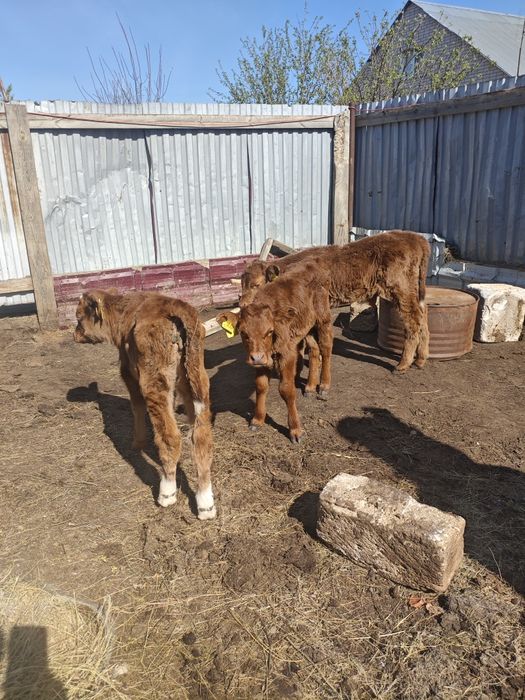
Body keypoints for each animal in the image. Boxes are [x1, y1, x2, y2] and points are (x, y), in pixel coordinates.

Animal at [73, 290, 216, 519]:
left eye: (78, 317)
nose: (74, 335)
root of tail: (176, 308)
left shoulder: (127, 372)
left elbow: (137, 407)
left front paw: (137, 442)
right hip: (197, 376)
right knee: (202, 437)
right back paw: (205, 504)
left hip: (153, 381)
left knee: (170, 437)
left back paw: (167, 493)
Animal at [218, 263, 332, 443]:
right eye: (243, 333)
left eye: (270, 331)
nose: (257, 357)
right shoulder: (260, 360)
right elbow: (260, 386)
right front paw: (257, 420)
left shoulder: (287, 353)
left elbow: (286, 390)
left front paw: (295, 430)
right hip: (307, 326)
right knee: (314, 350)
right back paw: (310, 387)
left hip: (323, 317)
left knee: (326, 347)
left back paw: (324, 385)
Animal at [239, 231, 430, 373]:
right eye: (241, 284)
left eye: (256, 285)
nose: (242, 305)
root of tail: (415, 237)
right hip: (411, 289)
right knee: (423, 314)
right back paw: (421, 359)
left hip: (401, 289)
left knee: (413, 320)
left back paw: (403, 364)